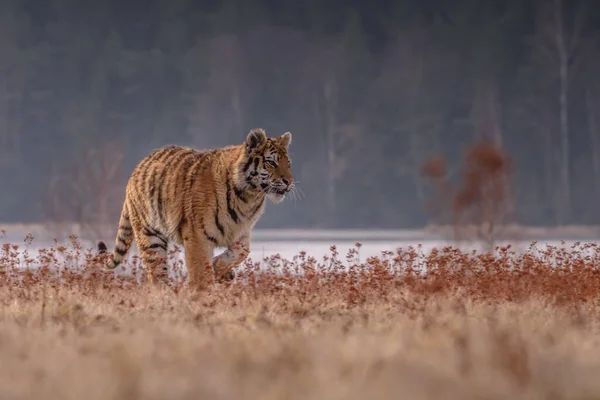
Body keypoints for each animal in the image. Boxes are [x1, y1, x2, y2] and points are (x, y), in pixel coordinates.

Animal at [97, 130, 294, 290]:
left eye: (288, 163)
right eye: (271, 162)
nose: (289, 181)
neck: (248, 197)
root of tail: (137, 169)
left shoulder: (241, 231)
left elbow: (241, 252)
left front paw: (222, 270)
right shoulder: (197, 235)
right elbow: (200, 272)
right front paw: (203, 294)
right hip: (151, 237)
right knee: (157, 276)